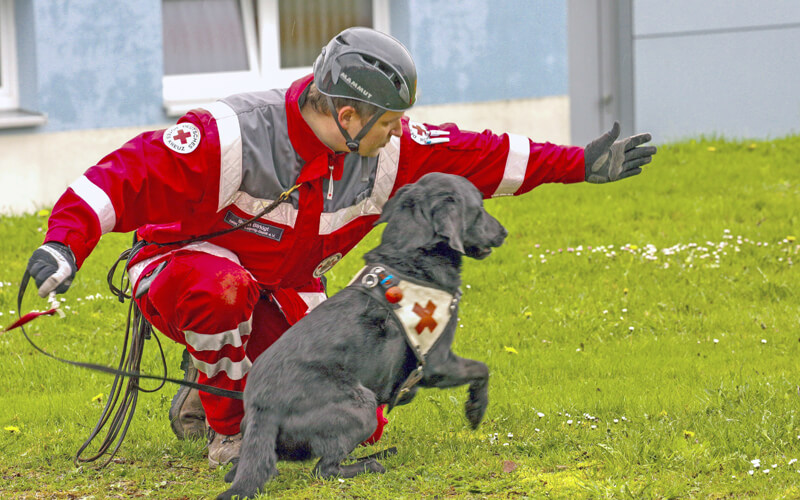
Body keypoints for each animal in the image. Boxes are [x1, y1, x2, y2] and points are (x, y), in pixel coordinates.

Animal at [219, 173, 506, 500]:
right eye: (479, 209)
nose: (504, 232)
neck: (409, 260)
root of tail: (261, 410)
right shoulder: (438, 362)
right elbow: (482, 369)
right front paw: (475, 410)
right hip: (362, 406)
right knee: (325, 469)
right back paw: (370, 464)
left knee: (240, 470)